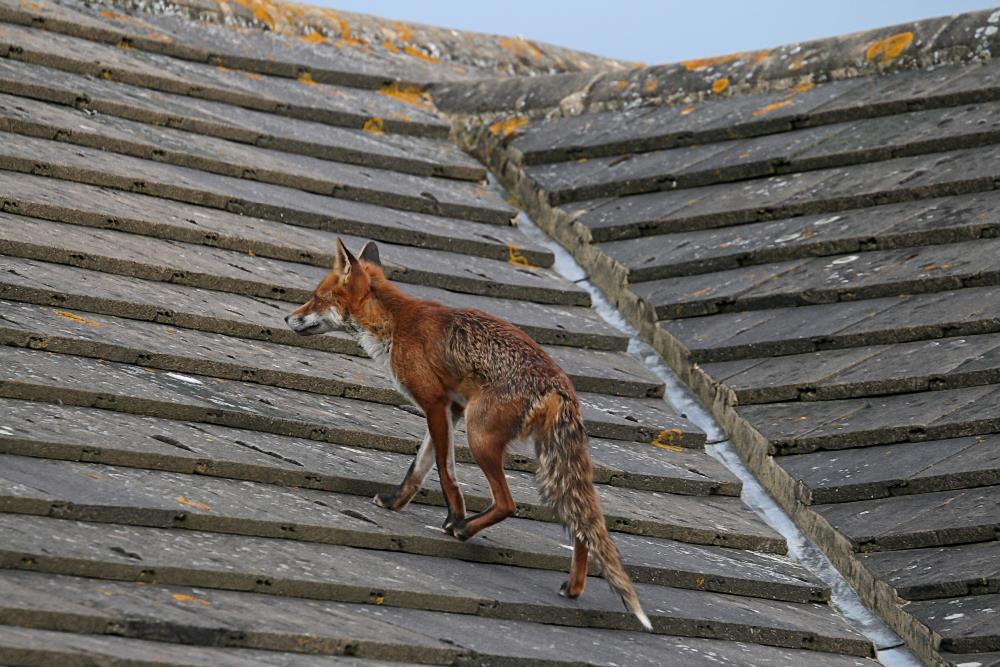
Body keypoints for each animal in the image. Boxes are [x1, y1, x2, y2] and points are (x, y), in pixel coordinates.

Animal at [285, 238, 652, 631]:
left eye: (315, 297)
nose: (287, 318)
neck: (397, 322)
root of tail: (562, 385)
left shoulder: (436, 403)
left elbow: (445, 472)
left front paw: (453, 517)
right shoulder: (452, 409)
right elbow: (419, 469)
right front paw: (395, 502)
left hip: (482, 438)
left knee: (508, 504)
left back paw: (466, 529)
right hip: (545, 457)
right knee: (581, 523)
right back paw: (574, 587)